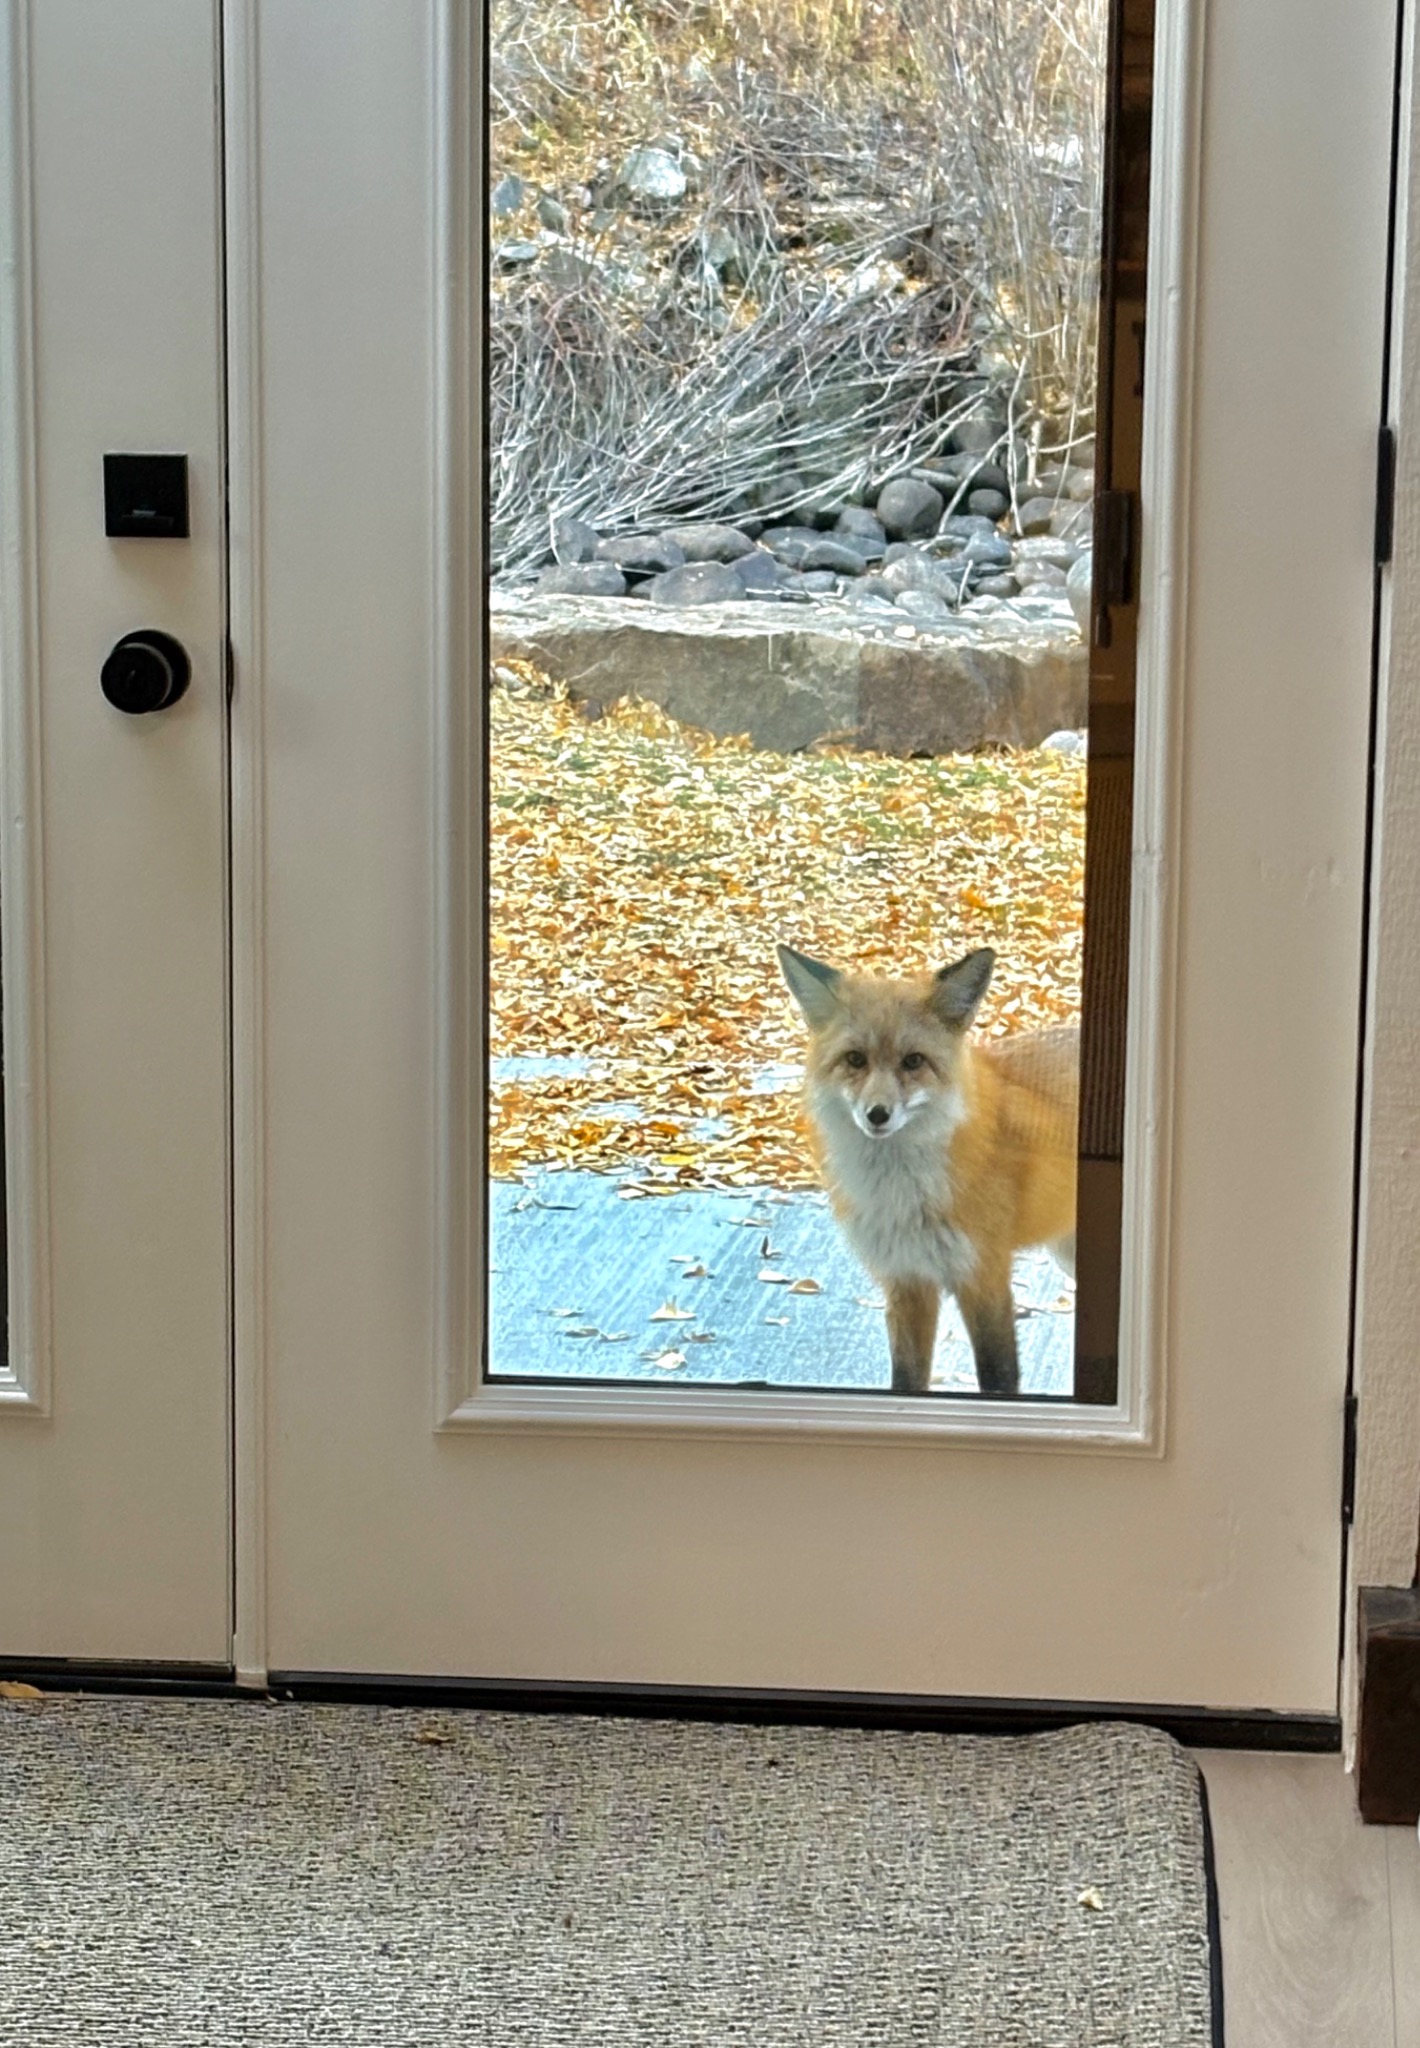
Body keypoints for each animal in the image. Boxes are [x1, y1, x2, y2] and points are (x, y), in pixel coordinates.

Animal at [777, 943, 1078, 1397]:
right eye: (855, 1059)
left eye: (913, 1061)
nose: (877, 1114)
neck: (901, 1193)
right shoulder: (907, 1279)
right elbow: (906, 1379)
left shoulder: (983, 1275)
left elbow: (998, 1377)